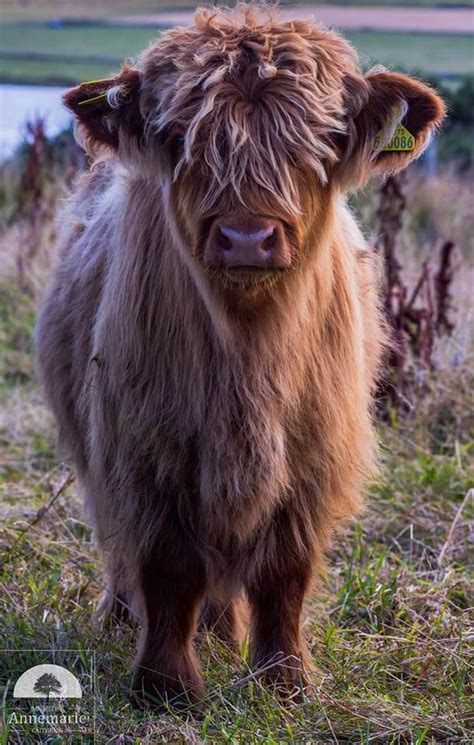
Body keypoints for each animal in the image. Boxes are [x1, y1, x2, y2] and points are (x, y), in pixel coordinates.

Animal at [36, 4, 444, 704]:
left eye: (322, 140)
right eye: (180, 138)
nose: (247, 237)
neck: (250, 358)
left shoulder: (312, 457)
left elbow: (284, 574)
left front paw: (283, 682)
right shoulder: (146, 446)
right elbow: (167, 566)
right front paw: (165, 687)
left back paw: (224, 635)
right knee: (120, 544)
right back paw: (119, 617)